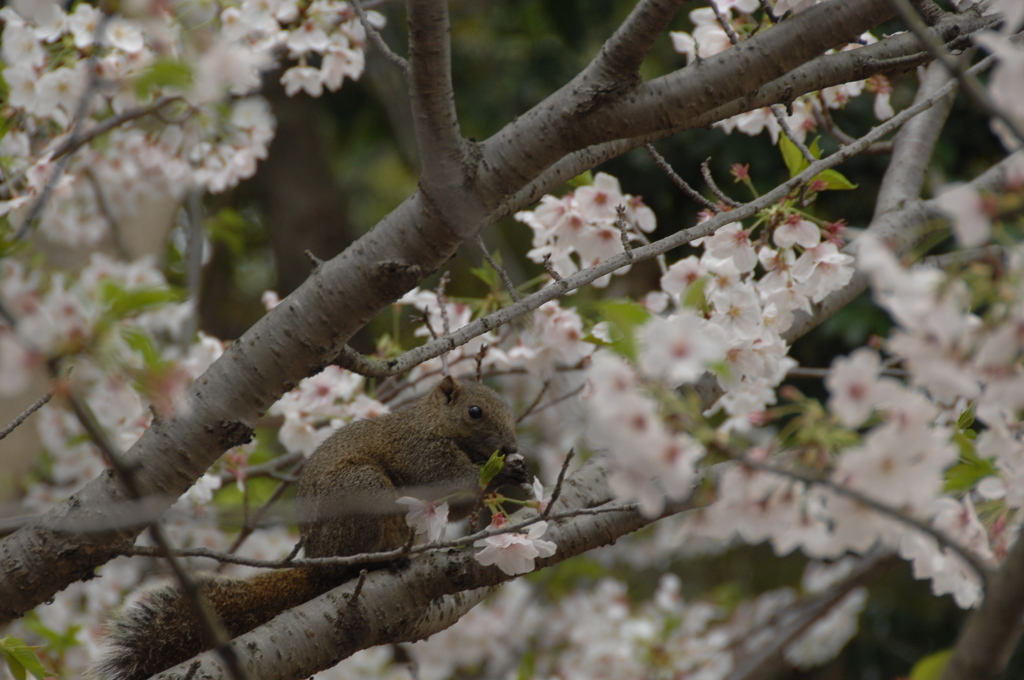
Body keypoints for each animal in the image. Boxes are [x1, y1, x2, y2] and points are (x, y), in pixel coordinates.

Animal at [86, 376, 528, 680]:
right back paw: (382, 564)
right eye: (475, 411)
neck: (433, 422)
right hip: (360, 488)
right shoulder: (419, 451)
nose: (511, 446)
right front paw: (502, 473)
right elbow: (445, 478)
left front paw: (515, 474)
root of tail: (318, 564)